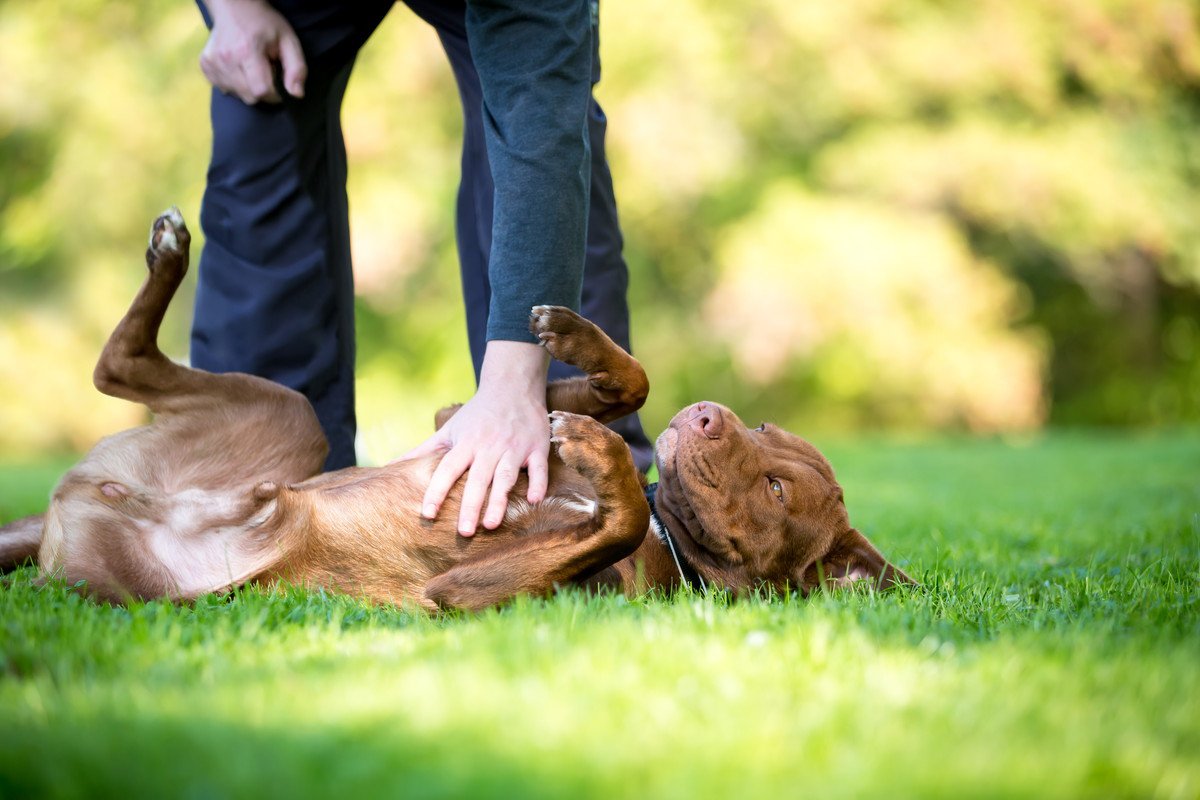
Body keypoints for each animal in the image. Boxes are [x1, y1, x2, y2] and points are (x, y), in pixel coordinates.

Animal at [0, 209, 907, 609]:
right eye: (764, 430)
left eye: (777, 492)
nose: (713, 413)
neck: (666, 532)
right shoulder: (458, 422)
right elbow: (632, 383)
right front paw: (576, 341)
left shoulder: (471, 601)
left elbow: (608, 522)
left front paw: (603, 454)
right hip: (292, 414)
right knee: (117, 363)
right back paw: (167, 253)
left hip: (260, 456)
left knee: (113, 365)